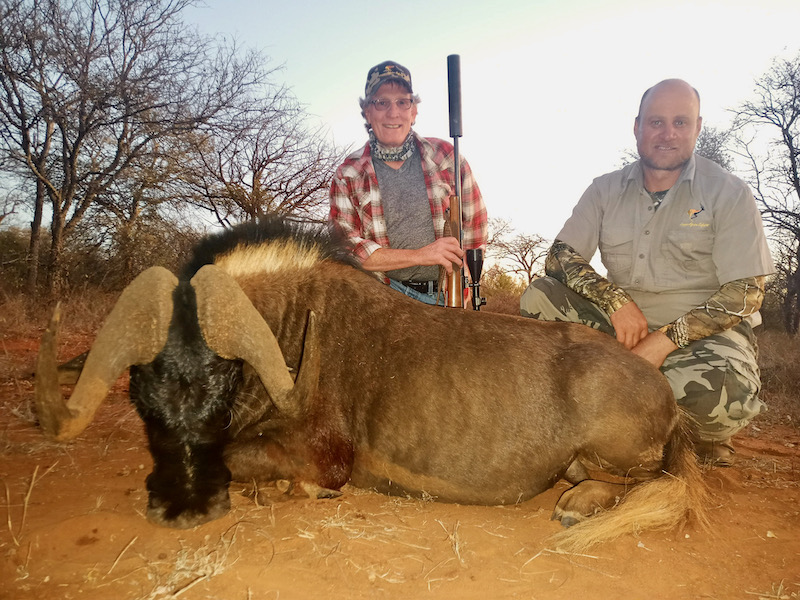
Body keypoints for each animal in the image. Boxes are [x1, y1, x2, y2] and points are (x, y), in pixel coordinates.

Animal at [35, 215, 709, 552]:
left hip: (608, 458)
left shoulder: (324, 454)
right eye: (142, 399)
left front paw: (290, 492)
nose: (182, 511)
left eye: (220, 382)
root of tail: (667, 400)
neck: (288, 325)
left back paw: (578, 507)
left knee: (647, 484)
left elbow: (250, 460)